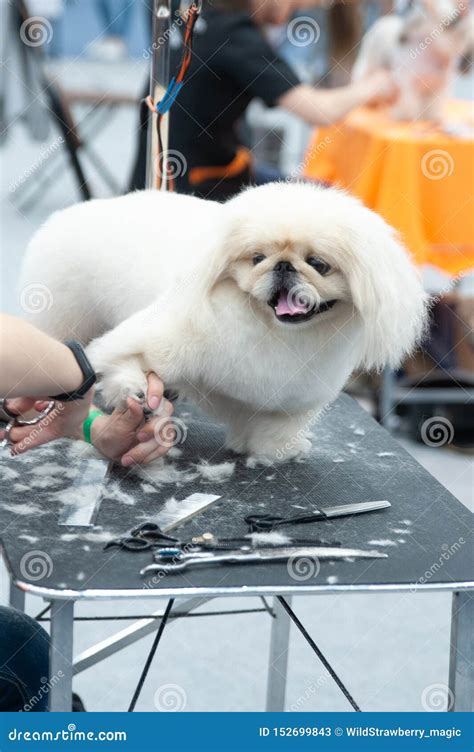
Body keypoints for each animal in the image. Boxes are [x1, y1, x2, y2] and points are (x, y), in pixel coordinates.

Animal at [20, 185, 428, 462]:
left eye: (319, 264)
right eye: (257, 258)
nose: (283, 266)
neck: (276, 334)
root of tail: (68, 215)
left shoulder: (293, 402)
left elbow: (277, 428)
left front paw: (277, 451)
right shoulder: (160, 336)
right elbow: (124, 360)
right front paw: (135, 391)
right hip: (63, 322)